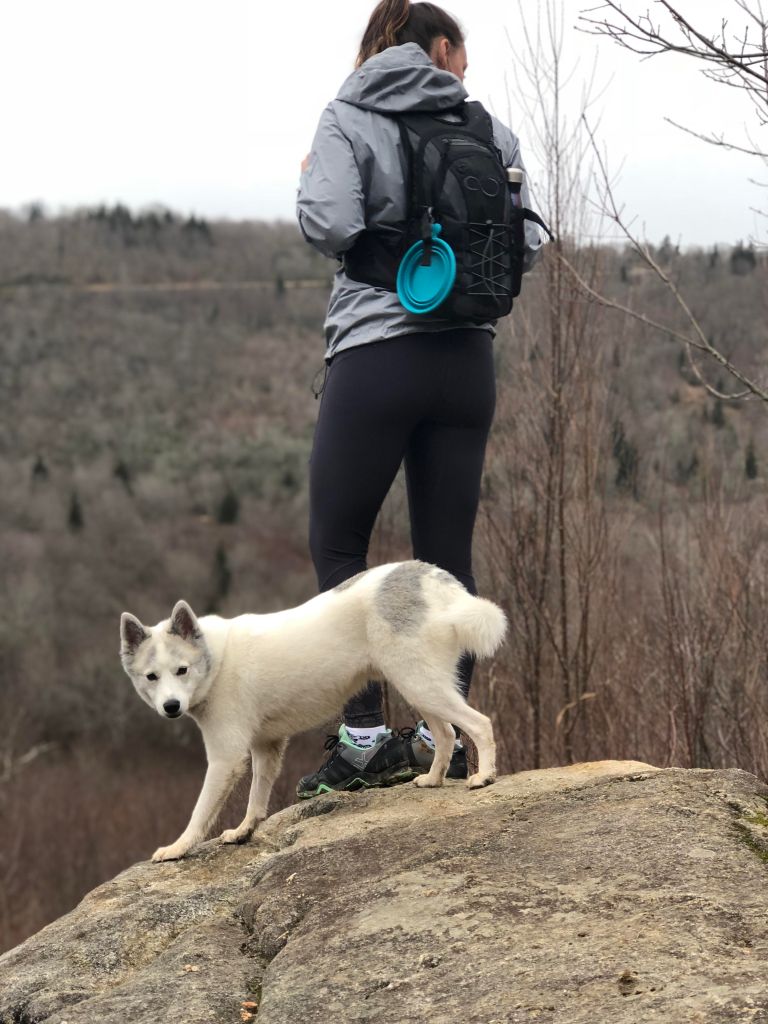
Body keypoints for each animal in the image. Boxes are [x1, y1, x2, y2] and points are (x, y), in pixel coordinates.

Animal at [118, 565, 505, 860]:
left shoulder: (225, 758)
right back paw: (434, 778)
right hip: (419, 688)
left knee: (481, 724)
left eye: (181, 671)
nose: (171, 707)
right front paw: (244, 831)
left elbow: (200, 812)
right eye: (152, 677)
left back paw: (484, 776)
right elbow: (257, 798)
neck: (217, 658)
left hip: (421, 685)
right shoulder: (267, 747)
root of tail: (432, 577)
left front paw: (178, 848)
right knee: (447, 734)